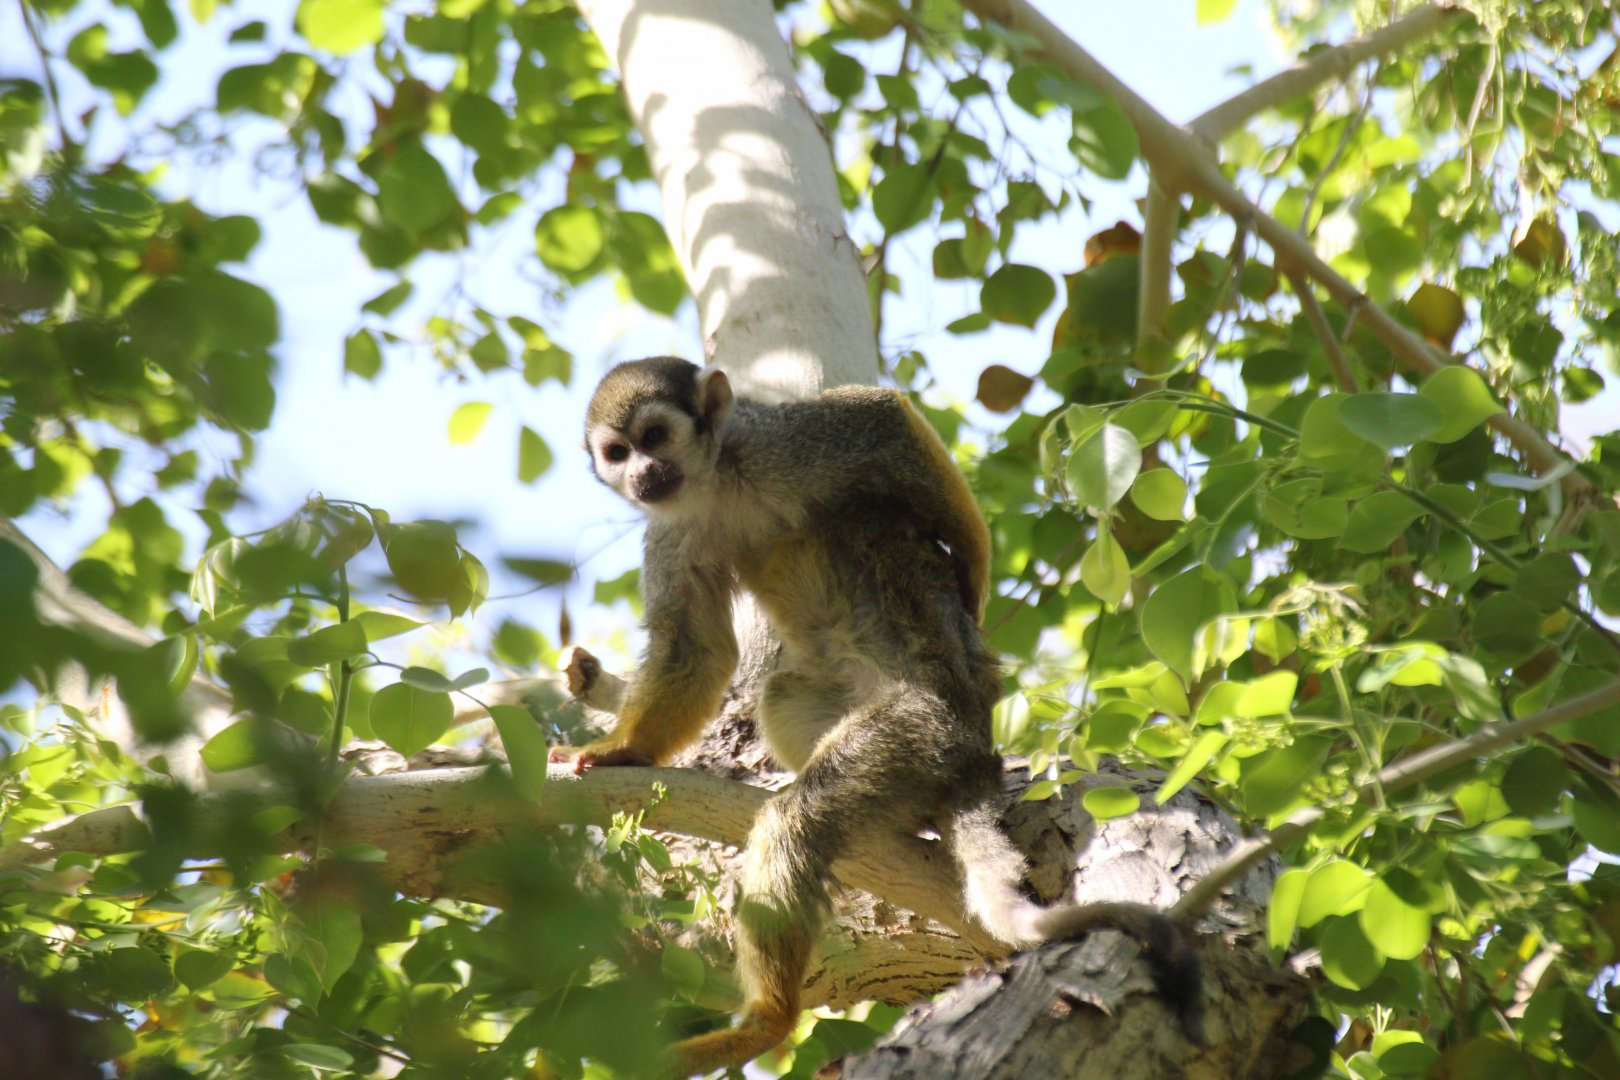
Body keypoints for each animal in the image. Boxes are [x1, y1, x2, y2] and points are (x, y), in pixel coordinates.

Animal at [548, 357, 1202, 1077]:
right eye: (618, 452)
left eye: (655, 436)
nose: (642, 473)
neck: (716, 486)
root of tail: (974, 748)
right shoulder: (671, 531)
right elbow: (692, 648)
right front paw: (622, 751)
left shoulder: (779, 444)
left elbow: (888, 423)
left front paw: (972, 579)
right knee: (782, 695)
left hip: (920, 727)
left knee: (798, 816)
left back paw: (768, 1021)